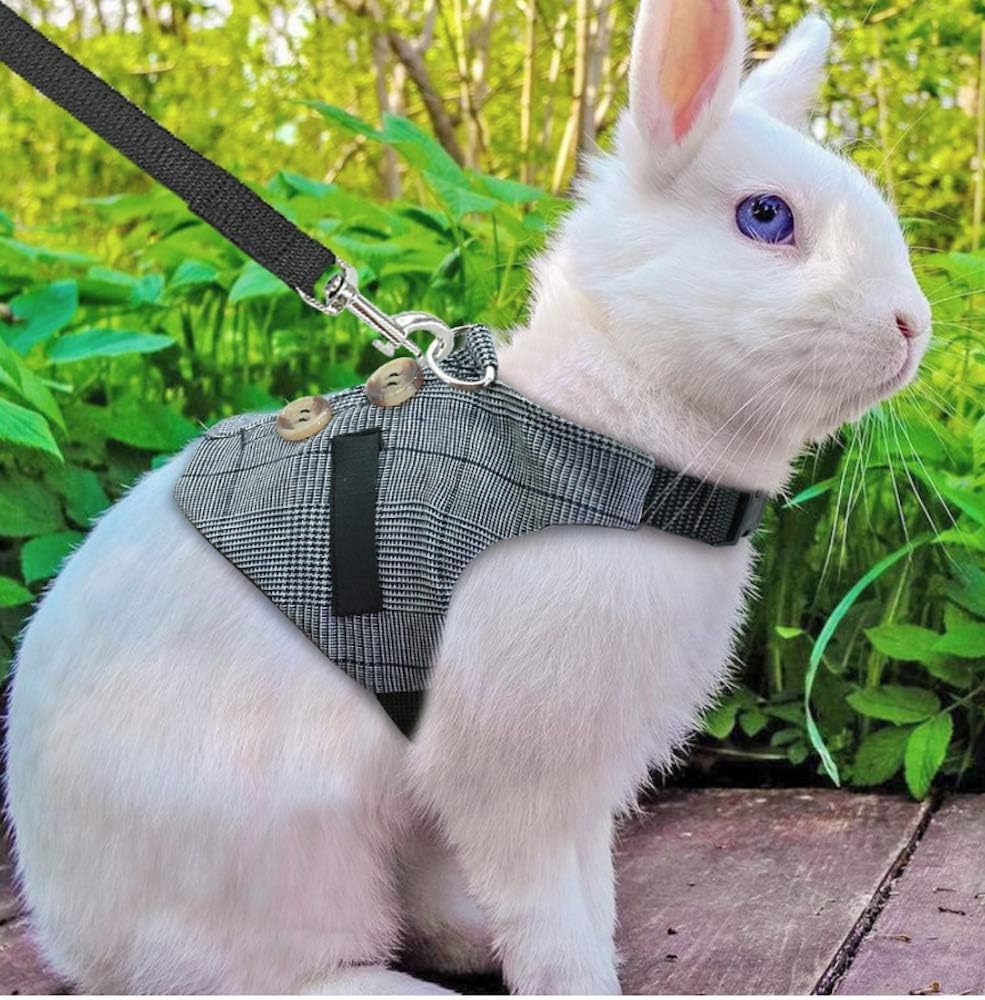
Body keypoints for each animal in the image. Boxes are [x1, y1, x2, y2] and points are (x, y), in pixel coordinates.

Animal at [5, 0, 932, 994]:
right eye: (765, 216)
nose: (912, 326)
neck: (608, 442)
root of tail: (71, 931)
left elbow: (589, 894)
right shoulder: (523, 781)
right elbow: (555, 915)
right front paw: (582, 984)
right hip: (286, 852)